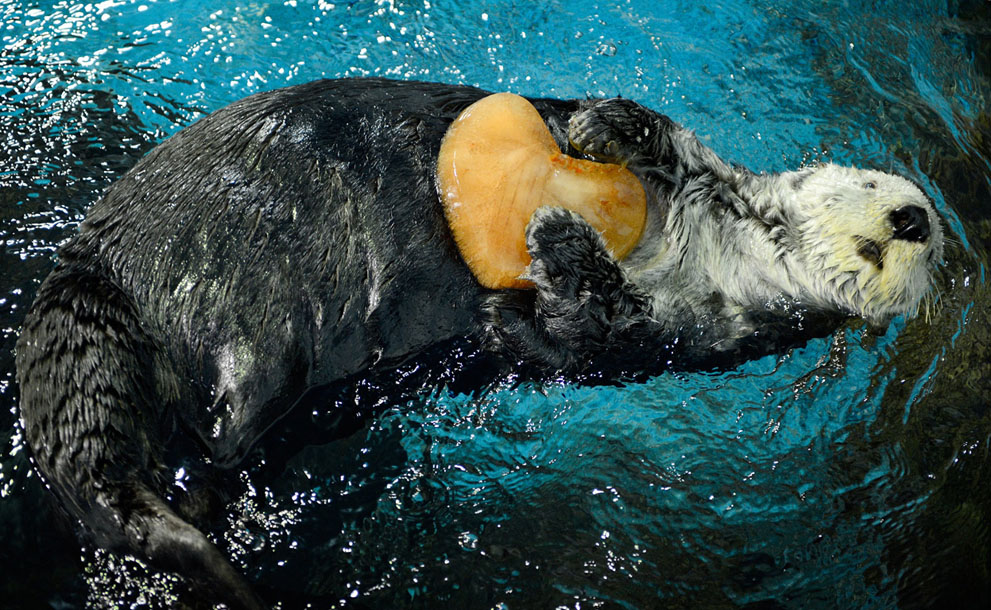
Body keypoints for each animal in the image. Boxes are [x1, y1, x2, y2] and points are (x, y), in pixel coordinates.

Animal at [14, 78, 942, 608]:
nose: (915, 221)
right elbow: (649, 137)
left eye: (931, 237)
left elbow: (572, 328)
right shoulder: (692, 187)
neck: (717, 247)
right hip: (115, 290)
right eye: (874, 182)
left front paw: (558, 241)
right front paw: (606, 128)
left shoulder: (659, 340)